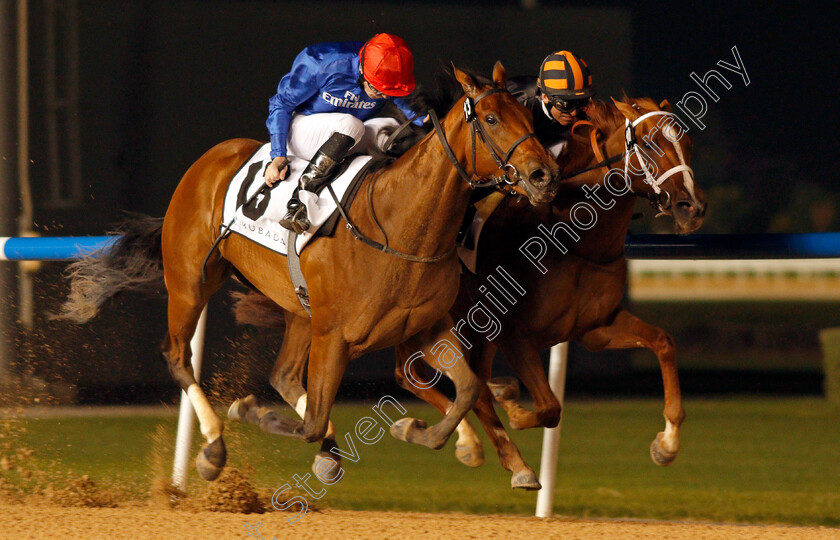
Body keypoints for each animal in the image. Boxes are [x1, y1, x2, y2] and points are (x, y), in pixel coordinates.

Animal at [57, 63, 556, 480]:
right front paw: (250, 413)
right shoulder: (334, 335)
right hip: (190, 282)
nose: (543, 175)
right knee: (178, 355)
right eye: (490, 119)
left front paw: (425, 433)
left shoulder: (424, 326)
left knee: (282, 374)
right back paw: (215, 445)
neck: (400, 226)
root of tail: (208, 161)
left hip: (296, 306)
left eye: (529, 118)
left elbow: (470, 388)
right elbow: (312, 422)